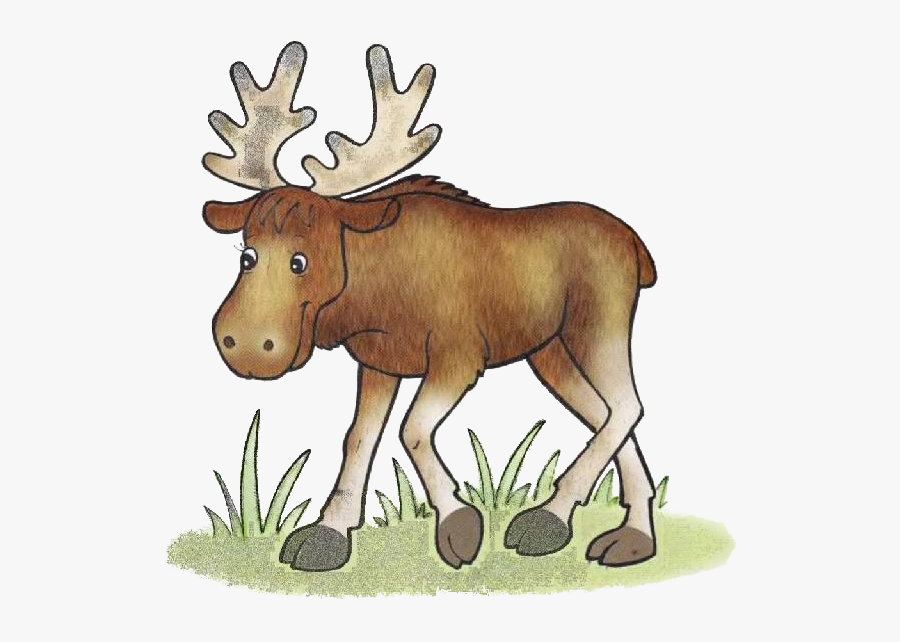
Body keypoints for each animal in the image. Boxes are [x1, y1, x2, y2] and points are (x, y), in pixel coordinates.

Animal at [202, 42, 659, 572]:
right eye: (247, 254)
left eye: (300, 260)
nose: (246, 344)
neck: (369, 303)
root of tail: (637, 246)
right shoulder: (379, 364)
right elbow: (358, 438)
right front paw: (329, 534)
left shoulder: (459, 357)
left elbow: (412, 430)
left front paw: (458, 523)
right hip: (550, 352)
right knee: (607, 413)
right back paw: (633, 535)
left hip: (598, 324)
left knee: (626, 406)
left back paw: (550, 516)